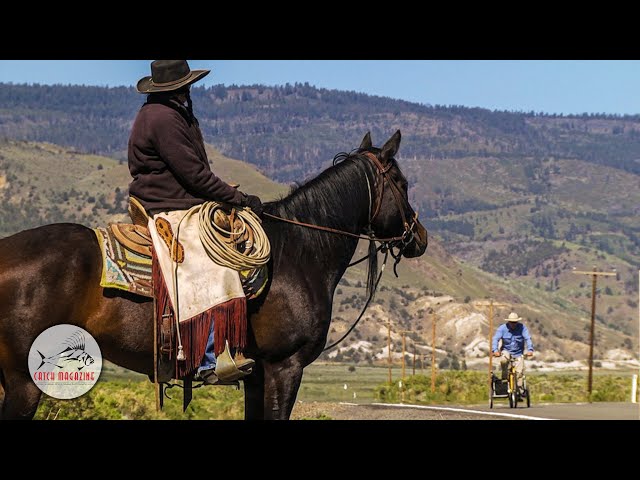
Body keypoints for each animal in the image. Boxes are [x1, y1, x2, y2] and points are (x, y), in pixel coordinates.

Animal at [1, 131, 430, 420]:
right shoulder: (284, 367)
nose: (420, 237)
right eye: (403, 183)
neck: (300, 251)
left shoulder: (256, 376)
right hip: (24, 381)